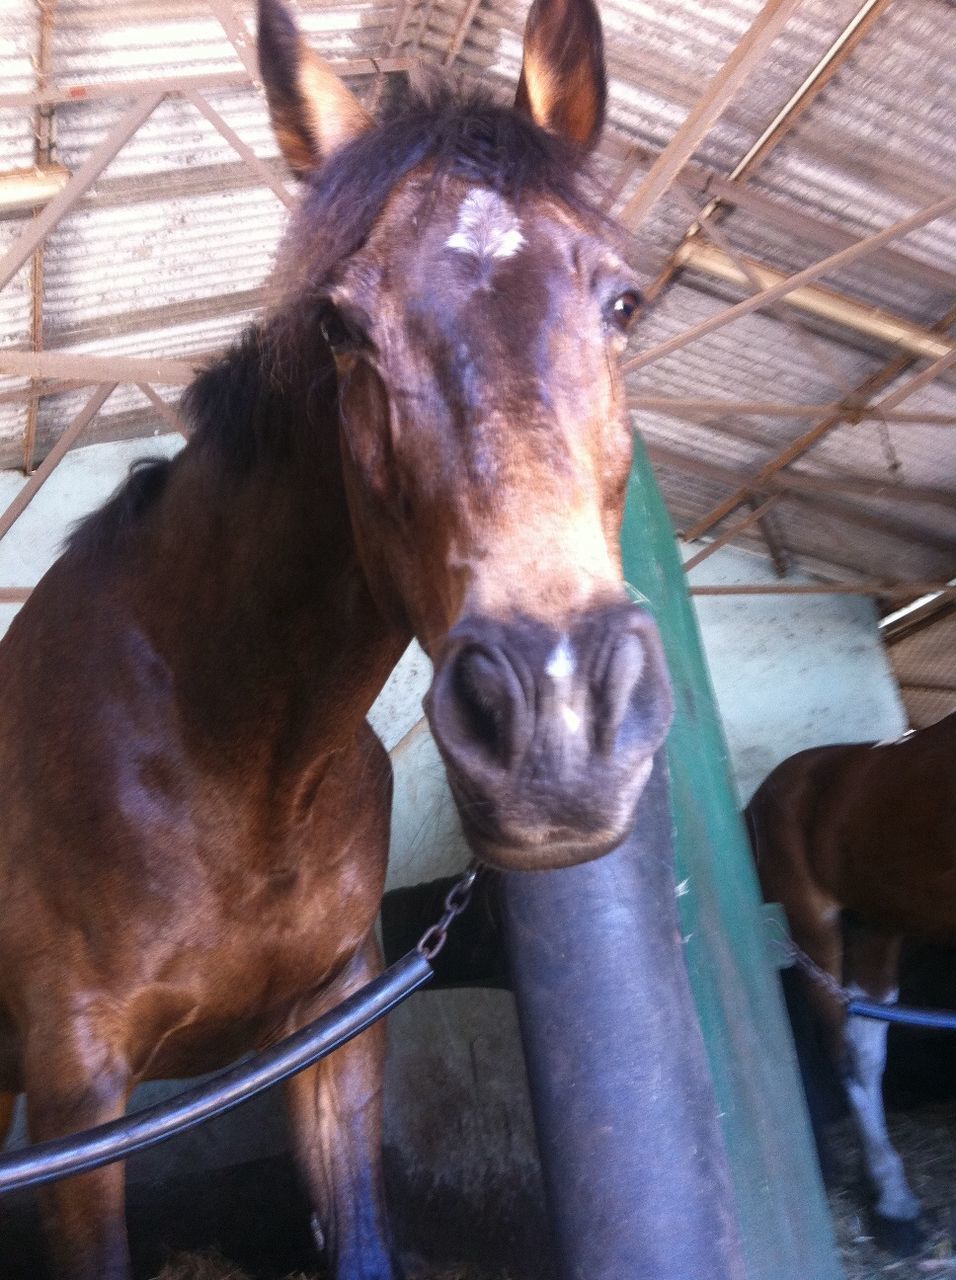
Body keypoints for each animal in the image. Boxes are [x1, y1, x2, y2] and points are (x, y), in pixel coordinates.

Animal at [0, 2, 670, 1280]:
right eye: (342, 325)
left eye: (623, 304)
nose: (557, 719)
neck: (235, 758)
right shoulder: (78, 1090)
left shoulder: (334, 1024)